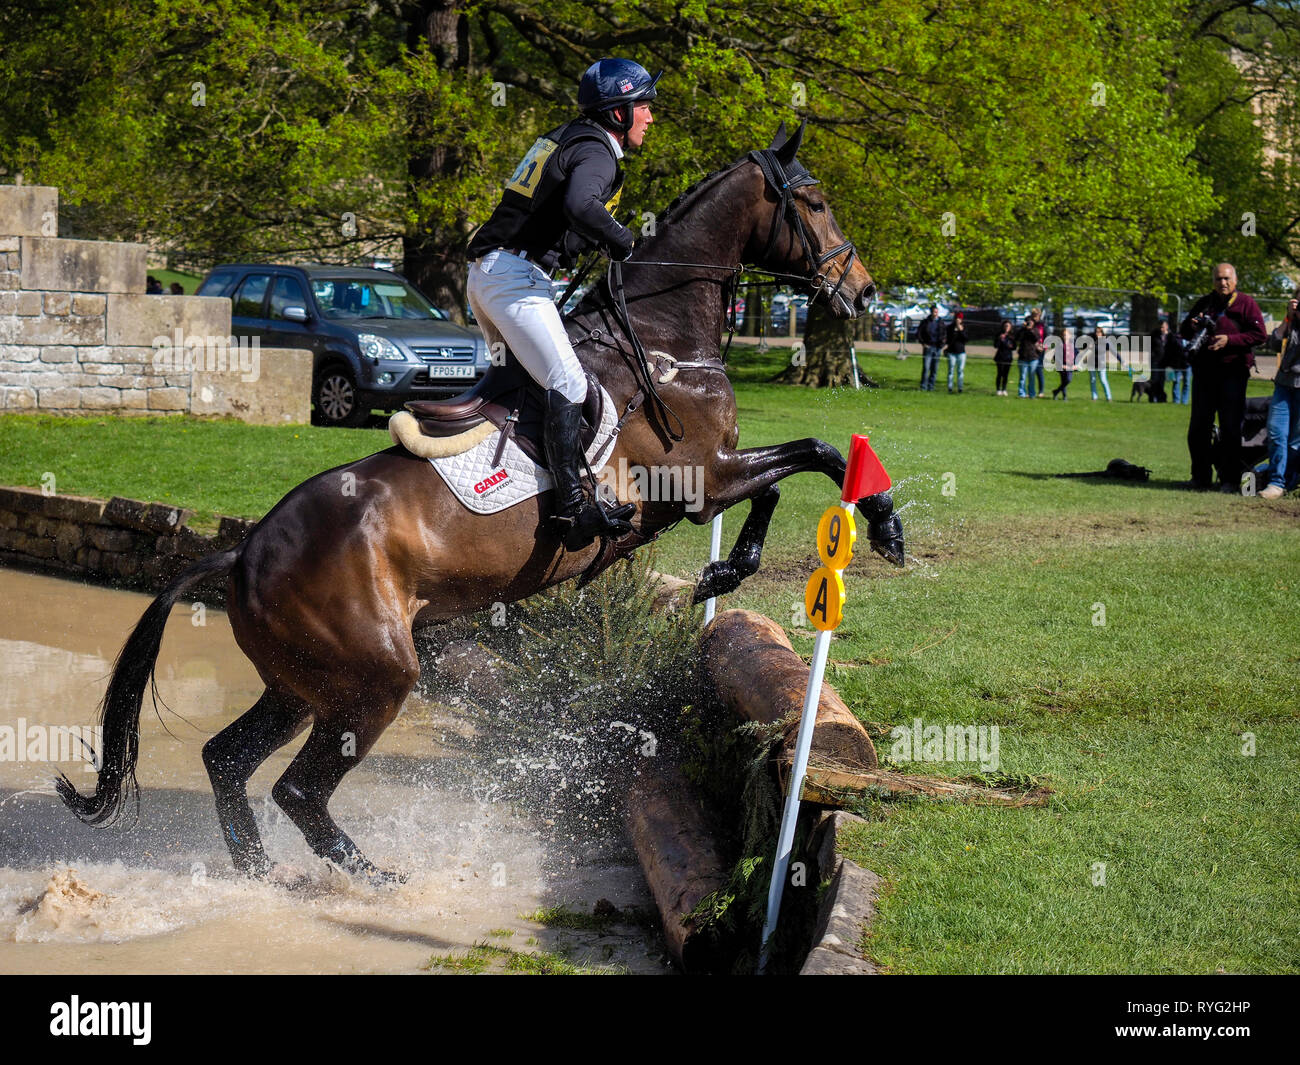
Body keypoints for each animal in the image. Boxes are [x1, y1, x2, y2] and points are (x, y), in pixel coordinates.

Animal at [57, 121, 904, 884]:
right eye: (816, 201)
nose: (861, 289)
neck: (665, 338)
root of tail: (243, 550)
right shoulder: (702, 479)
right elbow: (811, 458)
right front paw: (861, 531)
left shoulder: (712, 478)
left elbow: (798, 469)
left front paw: (753, 563)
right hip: (373, 680)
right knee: (298, 788)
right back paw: (372, 875)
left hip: (300, 684)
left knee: (226, 759)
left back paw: (261, 874)